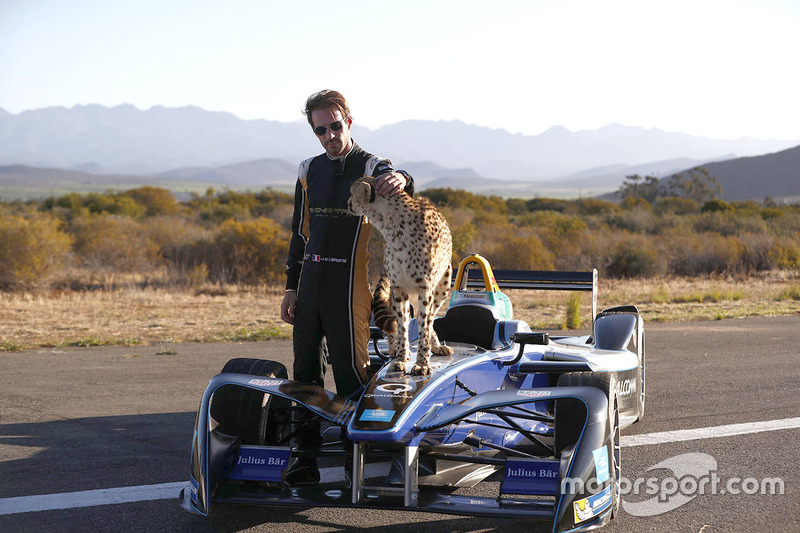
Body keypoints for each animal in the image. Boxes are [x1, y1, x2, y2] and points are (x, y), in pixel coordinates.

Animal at [348, 176, 454, 374]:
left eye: (352, 192)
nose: (348, 203)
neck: (392, 227)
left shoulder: (425, 288)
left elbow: (424, 326)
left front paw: (422, 363)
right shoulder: (399, 287)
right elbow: (402, 324)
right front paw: (401, 357)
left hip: (442, 287)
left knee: (428, 318)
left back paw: (436, 346)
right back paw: (393, 349)